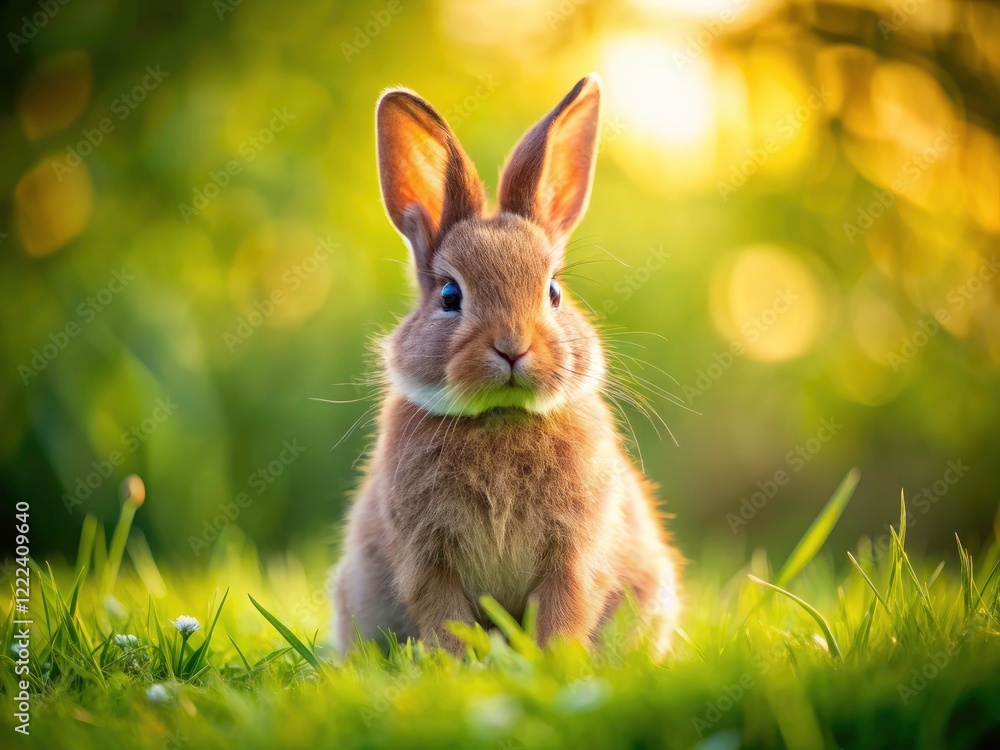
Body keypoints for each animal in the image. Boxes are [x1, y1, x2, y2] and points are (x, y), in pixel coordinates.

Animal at [331, 73, 682, 657]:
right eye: (450, 295)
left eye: (554, 291)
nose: (513, 347)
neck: (502, 416)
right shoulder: (429, 563)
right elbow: (446, 620)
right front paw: (457, 666)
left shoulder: (573, 557)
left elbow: (563, 610)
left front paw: (554, 663)